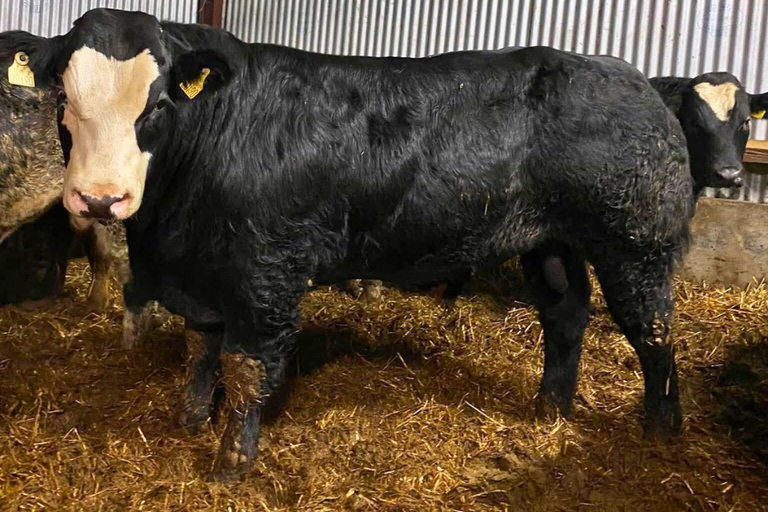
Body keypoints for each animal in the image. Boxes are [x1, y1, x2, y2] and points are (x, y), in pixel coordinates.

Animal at [1, 9, 760, 481]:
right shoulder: (206, 267)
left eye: (157, 103)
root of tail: (634, 80)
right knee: (566, 314)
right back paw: (551, 407)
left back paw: (660, 428)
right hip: (550, 239)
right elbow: (200, 351)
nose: (99, 200)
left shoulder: (268, 271)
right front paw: (189, 423)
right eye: (62, 98)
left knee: (653, 329)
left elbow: (247, 367)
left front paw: (230, 464)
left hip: (637, 239)